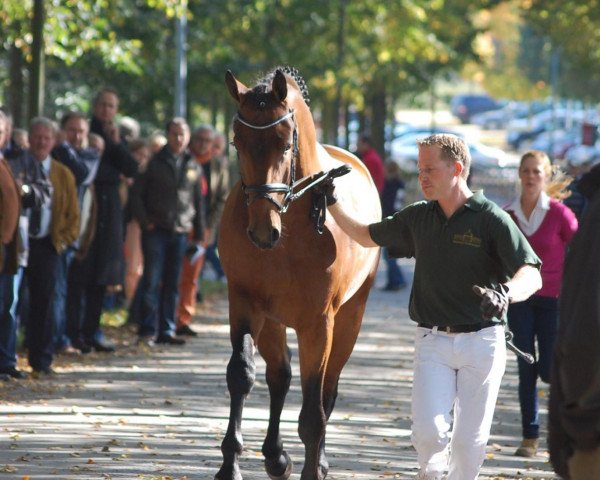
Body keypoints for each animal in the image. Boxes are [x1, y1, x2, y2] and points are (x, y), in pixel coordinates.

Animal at [216, 66, 380, 480]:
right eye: (237, 141)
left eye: (284, 144)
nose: (262, 230)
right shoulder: (244, 302)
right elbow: (241, 374)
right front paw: (230, 464)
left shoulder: (318, 323)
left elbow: (314, 407)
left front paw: (311, 466)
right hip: (273, 319)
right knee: (280, 375)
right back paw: (276, 456)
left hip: (351, 317)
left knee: (327, 389)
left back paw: (316, 460)